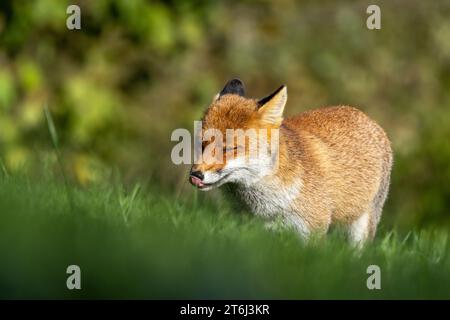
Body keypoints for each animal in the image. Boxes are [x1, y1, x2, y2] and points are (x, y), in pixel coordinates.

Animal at [188, 79, 392, 244]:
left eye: (228, 149)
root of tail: (365, 116)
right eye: (201, 144)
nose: (195, 174)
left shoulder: (312, 229)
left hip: (361, 227)